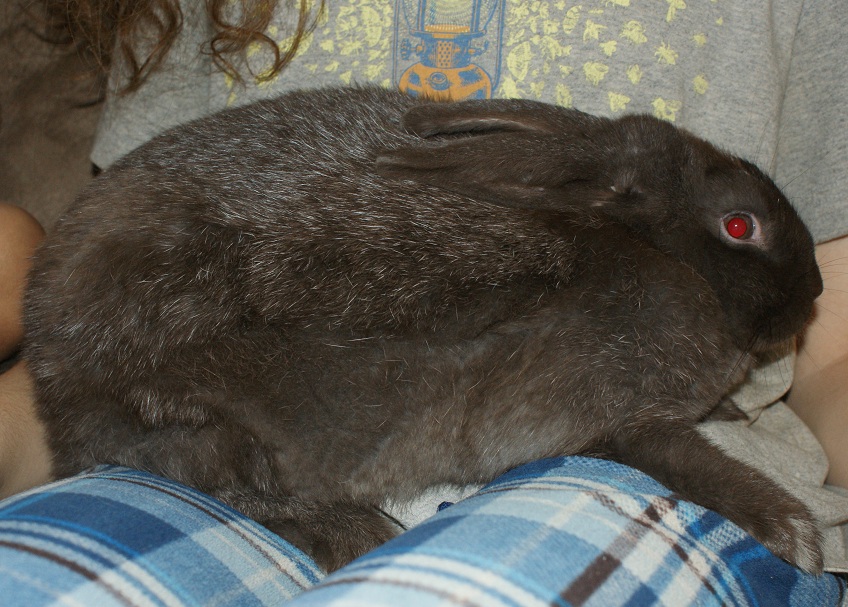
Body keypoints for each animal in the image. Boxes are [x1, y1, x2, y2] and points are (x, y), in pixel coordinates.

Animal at [22, 85, 824, 573]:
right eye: (741, 225)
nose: (815, 293)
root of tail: (53, 379)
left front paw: (734, 410)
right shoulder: (618, 418)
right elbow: (695, 466)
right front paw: (796, 535)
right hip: (205, 422)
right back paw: (357, 532)